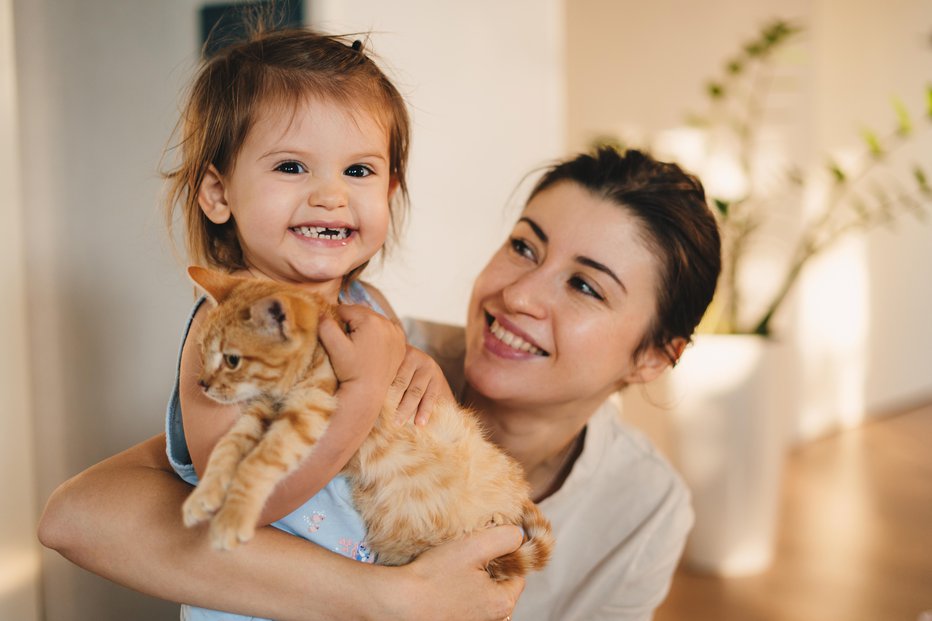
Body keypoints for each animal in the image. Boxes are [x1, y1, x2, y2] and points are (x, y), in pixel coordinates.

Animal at [182, 266, 552, 580]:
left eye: (232, 360)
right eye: (201, 351)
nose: (201, 384)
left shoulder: (309, 412)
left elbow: (258, 462)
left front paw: (232, 518)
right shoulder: (261, 411)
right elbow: (226, 447)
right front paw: (205, 495)